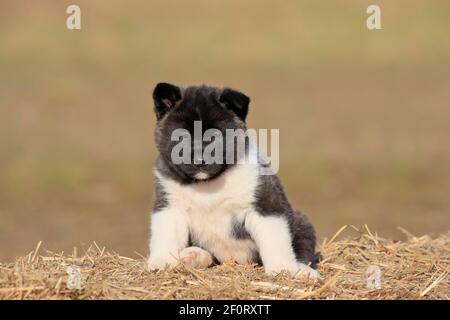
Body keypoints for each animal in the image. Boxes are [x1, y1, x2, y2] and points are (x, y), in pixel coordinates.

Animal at [147, 83, 320, 280]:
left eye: (215, 136)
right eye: (181, 135)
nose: (199, 160)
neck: (206, 184)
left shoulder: (264, 205)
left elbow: (274, 240)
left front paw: (281, 269)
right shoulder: (170, 206)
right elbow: (165, 236)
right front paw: (161, 262)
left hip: (301, 222)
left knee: (302, 249)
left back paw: (304, 271)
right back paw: (193, 256)